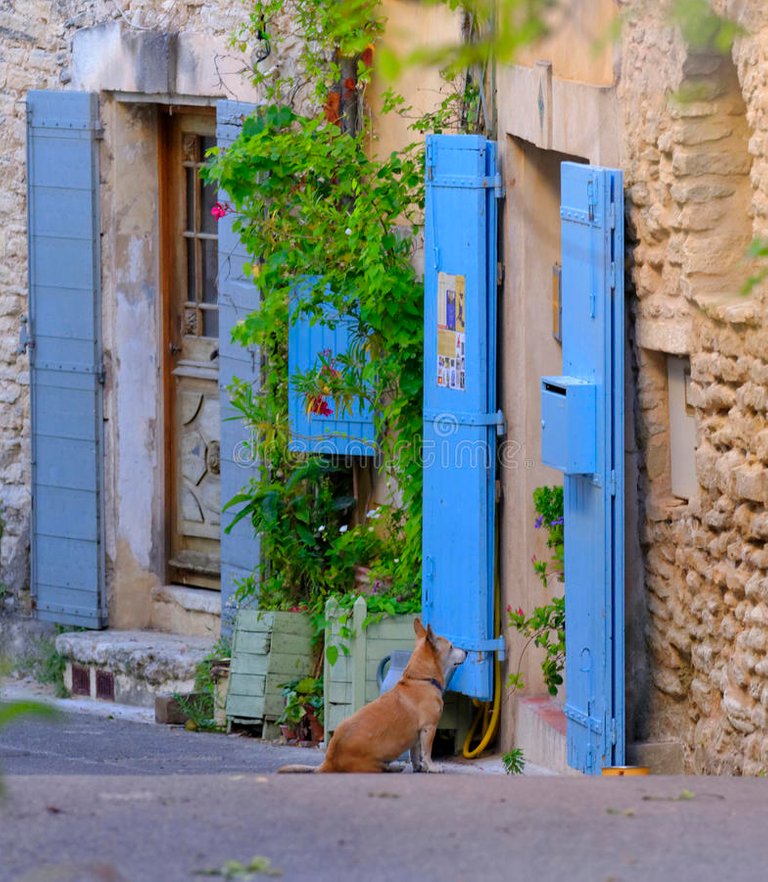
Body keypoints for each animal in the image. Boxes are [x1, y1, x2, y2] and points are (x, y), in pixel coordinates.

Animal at [280, 616, 464, 772]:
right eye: (451, 647)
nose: (467, 652)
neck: (421, 679)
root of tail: (329, 761)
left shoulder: (417, 736)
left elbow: (415, 754)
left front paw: (419, 767)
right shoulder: (428, 728)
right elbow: (426, 752)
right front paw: (432, 767)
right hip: (374, 763)